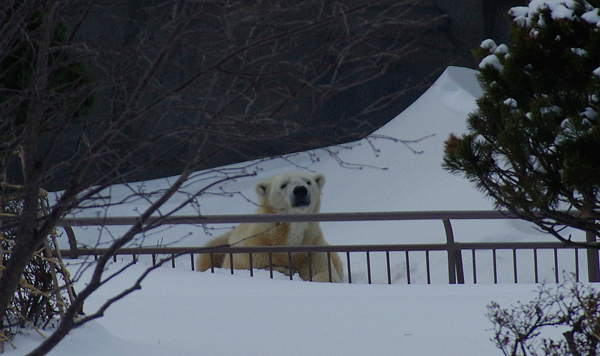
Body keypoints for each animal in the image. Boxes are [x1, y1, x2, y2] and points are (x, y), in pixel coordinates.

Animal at [197, 171, 342, 282]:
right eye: (283, 185)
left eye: (308, 182)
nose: (300, 190)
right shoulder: (254, 249)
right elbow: (241, 267)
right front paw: (286, 270)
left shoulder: (311, 248)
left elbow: (325, 273)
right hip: (223, 241)